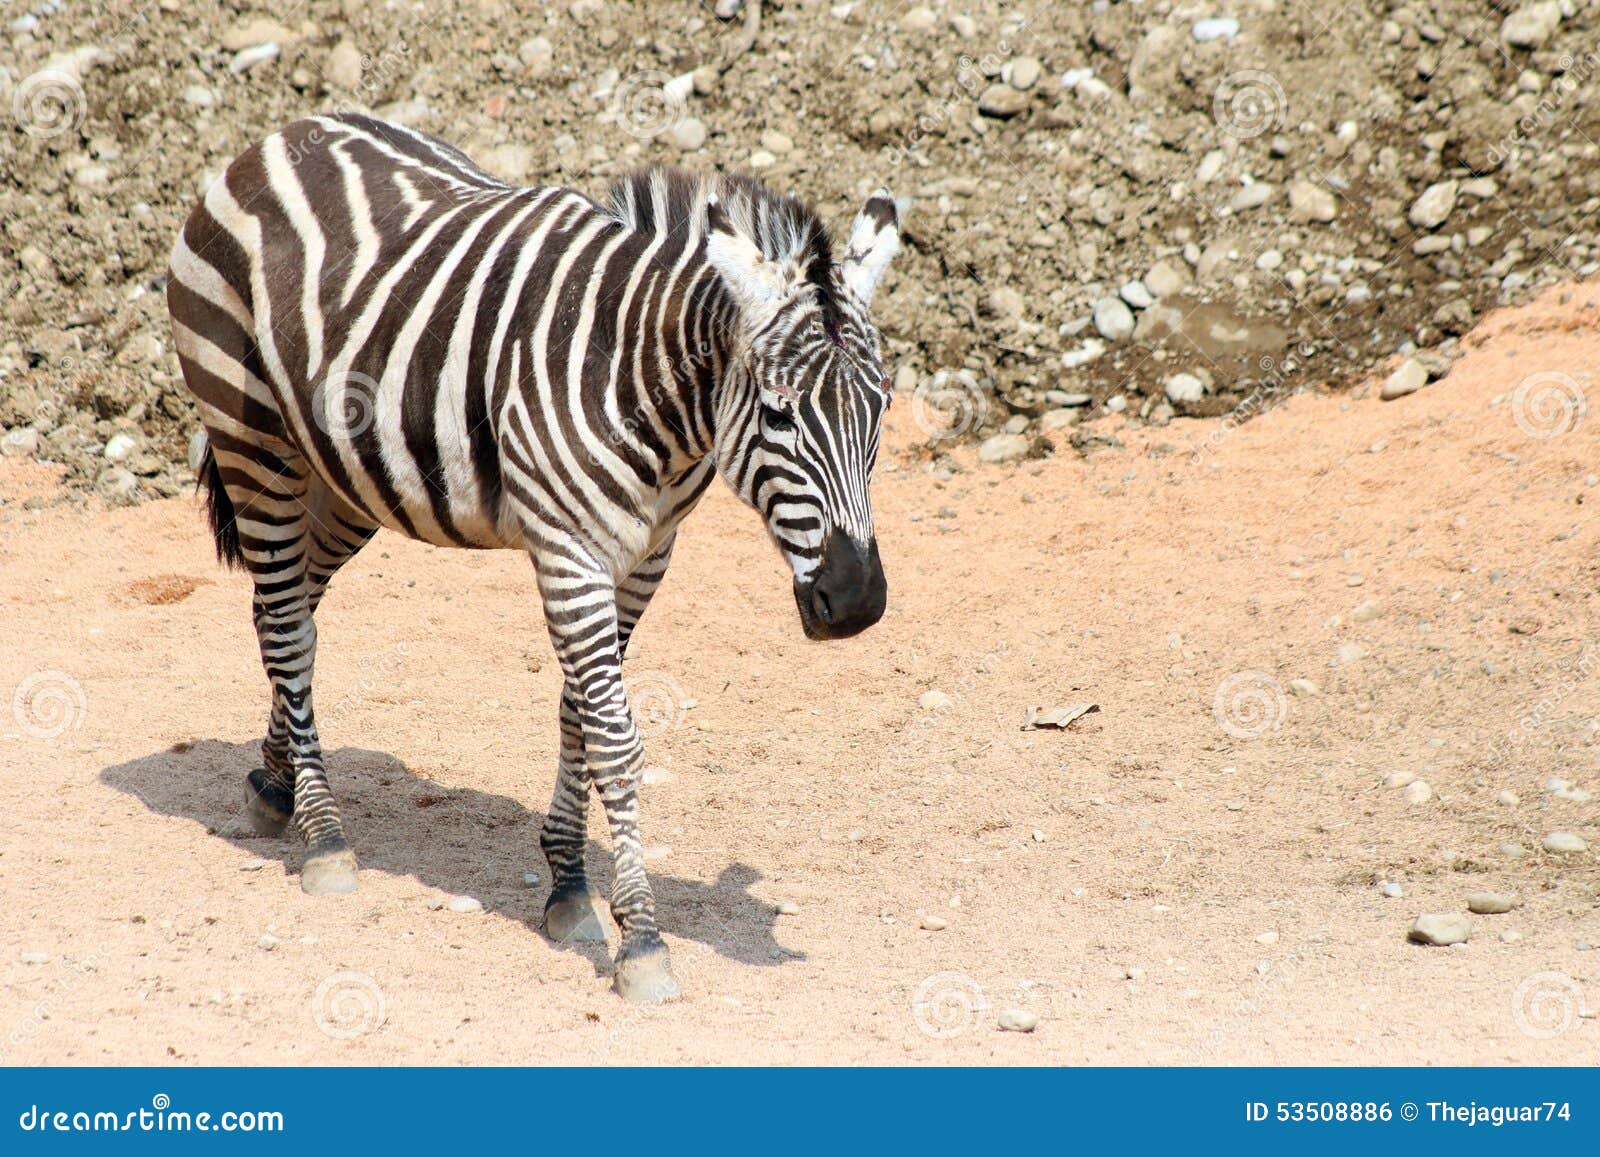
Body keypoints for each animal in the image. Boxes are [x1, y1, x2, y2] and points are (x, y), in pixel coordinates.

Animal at [165, 113, 901, 1001]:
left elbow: (578, 711)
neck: (649, 389)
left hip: (346, 478)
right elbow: (616, 735)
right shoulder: (570, 553)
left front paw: (568, 886)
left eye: (883, 407)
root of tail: (285, 133)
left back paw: (277, 784)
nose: (856, 601)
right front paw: (641, 939)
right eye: (778, 413)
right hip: (253, 437)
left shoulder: (645, 557)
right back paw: (326, 836)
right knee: (285, 626)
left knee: (289, 608)